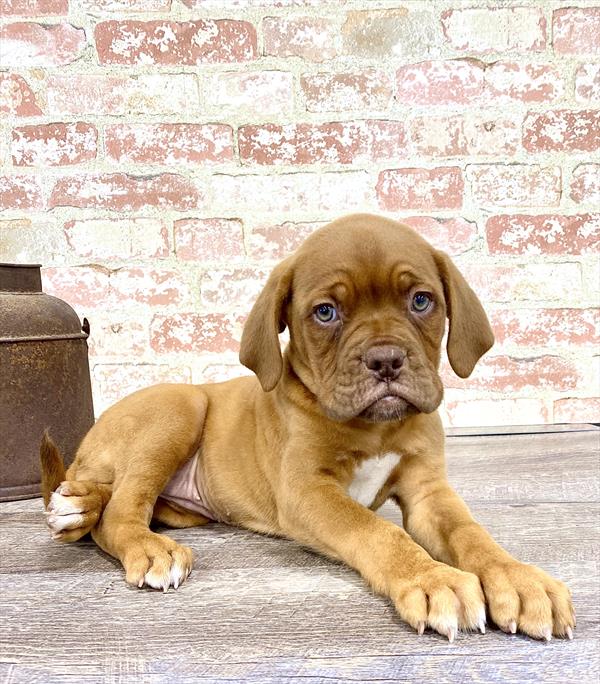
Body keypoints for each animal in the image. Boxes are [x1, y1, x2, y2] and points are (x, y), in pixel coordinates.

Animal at [39, 212, 576, 640]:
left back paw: (76, 506)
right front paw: (431, 578)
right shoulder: (307, 491)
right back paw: (139, 544)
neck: (374, 426)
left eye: (421, 301)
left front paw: (518, 578)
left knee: (115, 495)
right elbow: (378, 531)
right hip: (181, 405)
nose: (385, 360)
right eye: (325, 312)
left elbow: (471, 533)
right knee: (120, 510)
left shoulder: (428, 491)